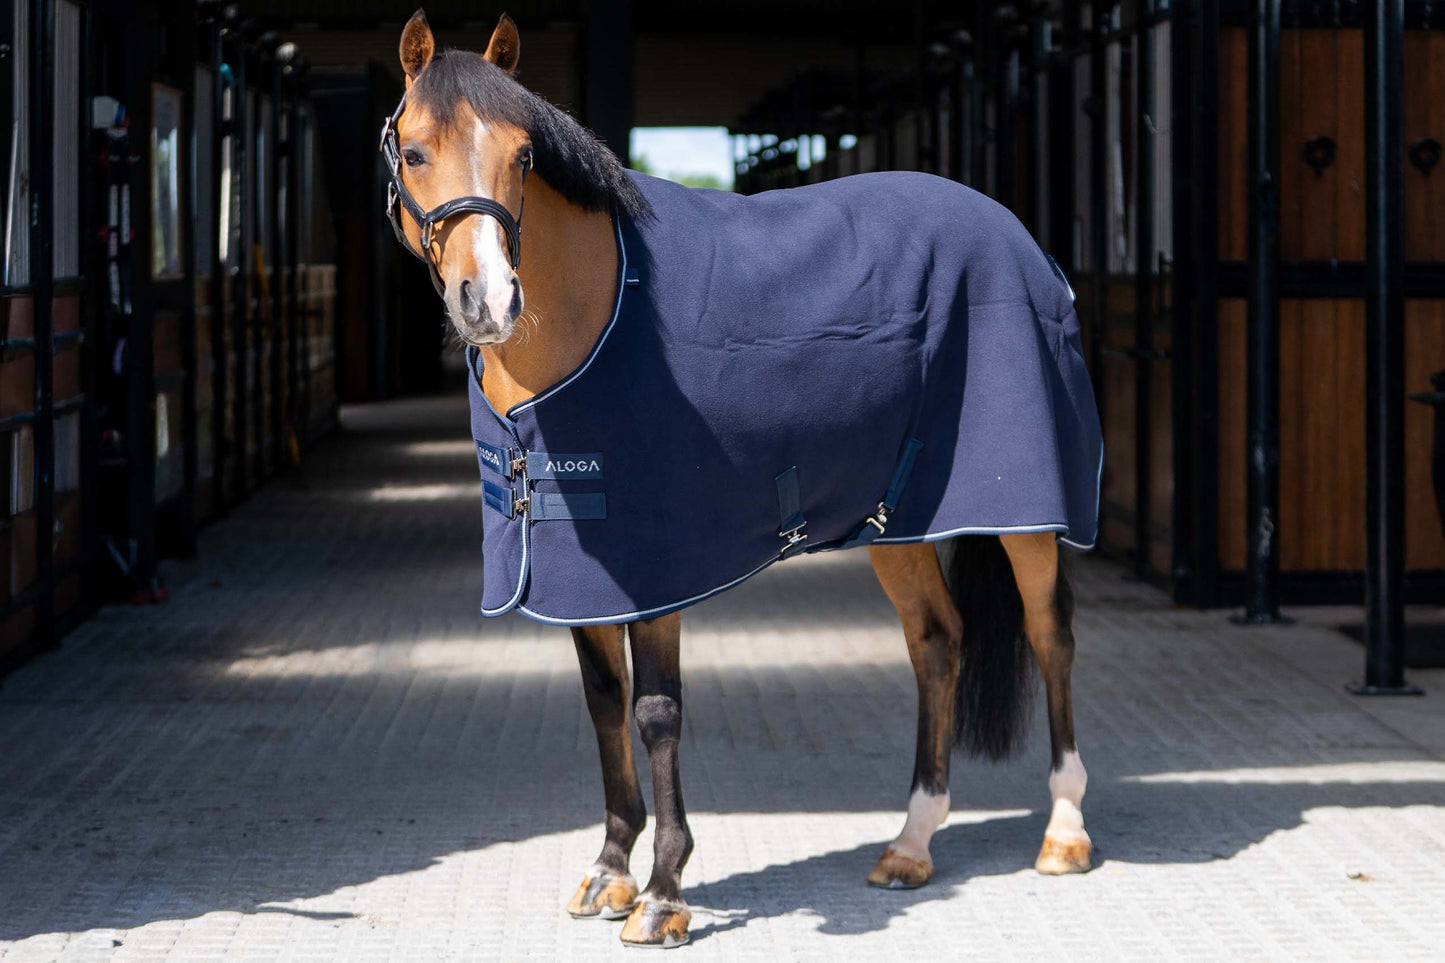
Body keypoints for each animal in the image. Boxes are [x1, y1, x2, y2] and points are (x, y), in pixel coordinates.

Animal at [383, 11, 1100, 949]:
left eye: (524, 154)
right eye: (415, 151)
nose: (489, 300)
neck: (595, 315)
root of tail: (1019, 239)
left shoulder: (656, 570)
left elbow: (655, 711)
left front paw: (662, 895)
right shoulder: (579, 570)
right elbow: (604, 700)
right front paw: (608, 871)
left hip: (1025, 512)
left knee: (1050, 636)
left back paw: (1063, 831)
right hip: (897, 517)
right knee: (937, 641)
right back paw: (909, 843)